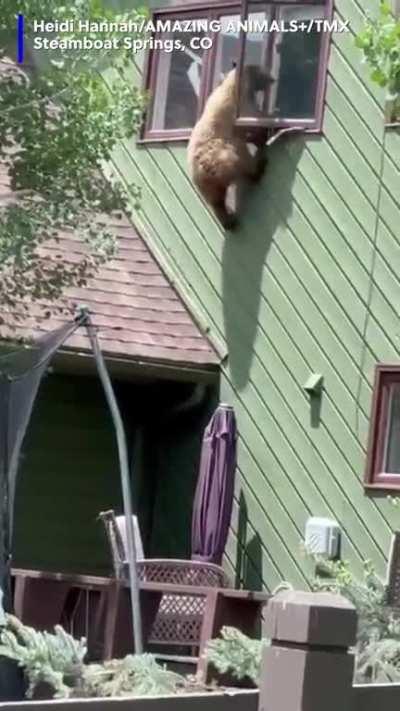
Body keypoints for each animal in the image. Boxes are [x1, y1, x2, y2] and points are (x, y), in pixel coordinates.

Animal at [187, 64, 271, 229]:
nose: (273, 79)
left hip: (205, 184)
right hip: (223, 153)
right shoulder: (240, 108)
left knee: (216, 201)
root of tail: (203, 168)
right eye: (262, 72)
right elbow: (254, 120)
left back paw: (228, 220)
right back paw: (258, 167)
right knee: (241, 158)